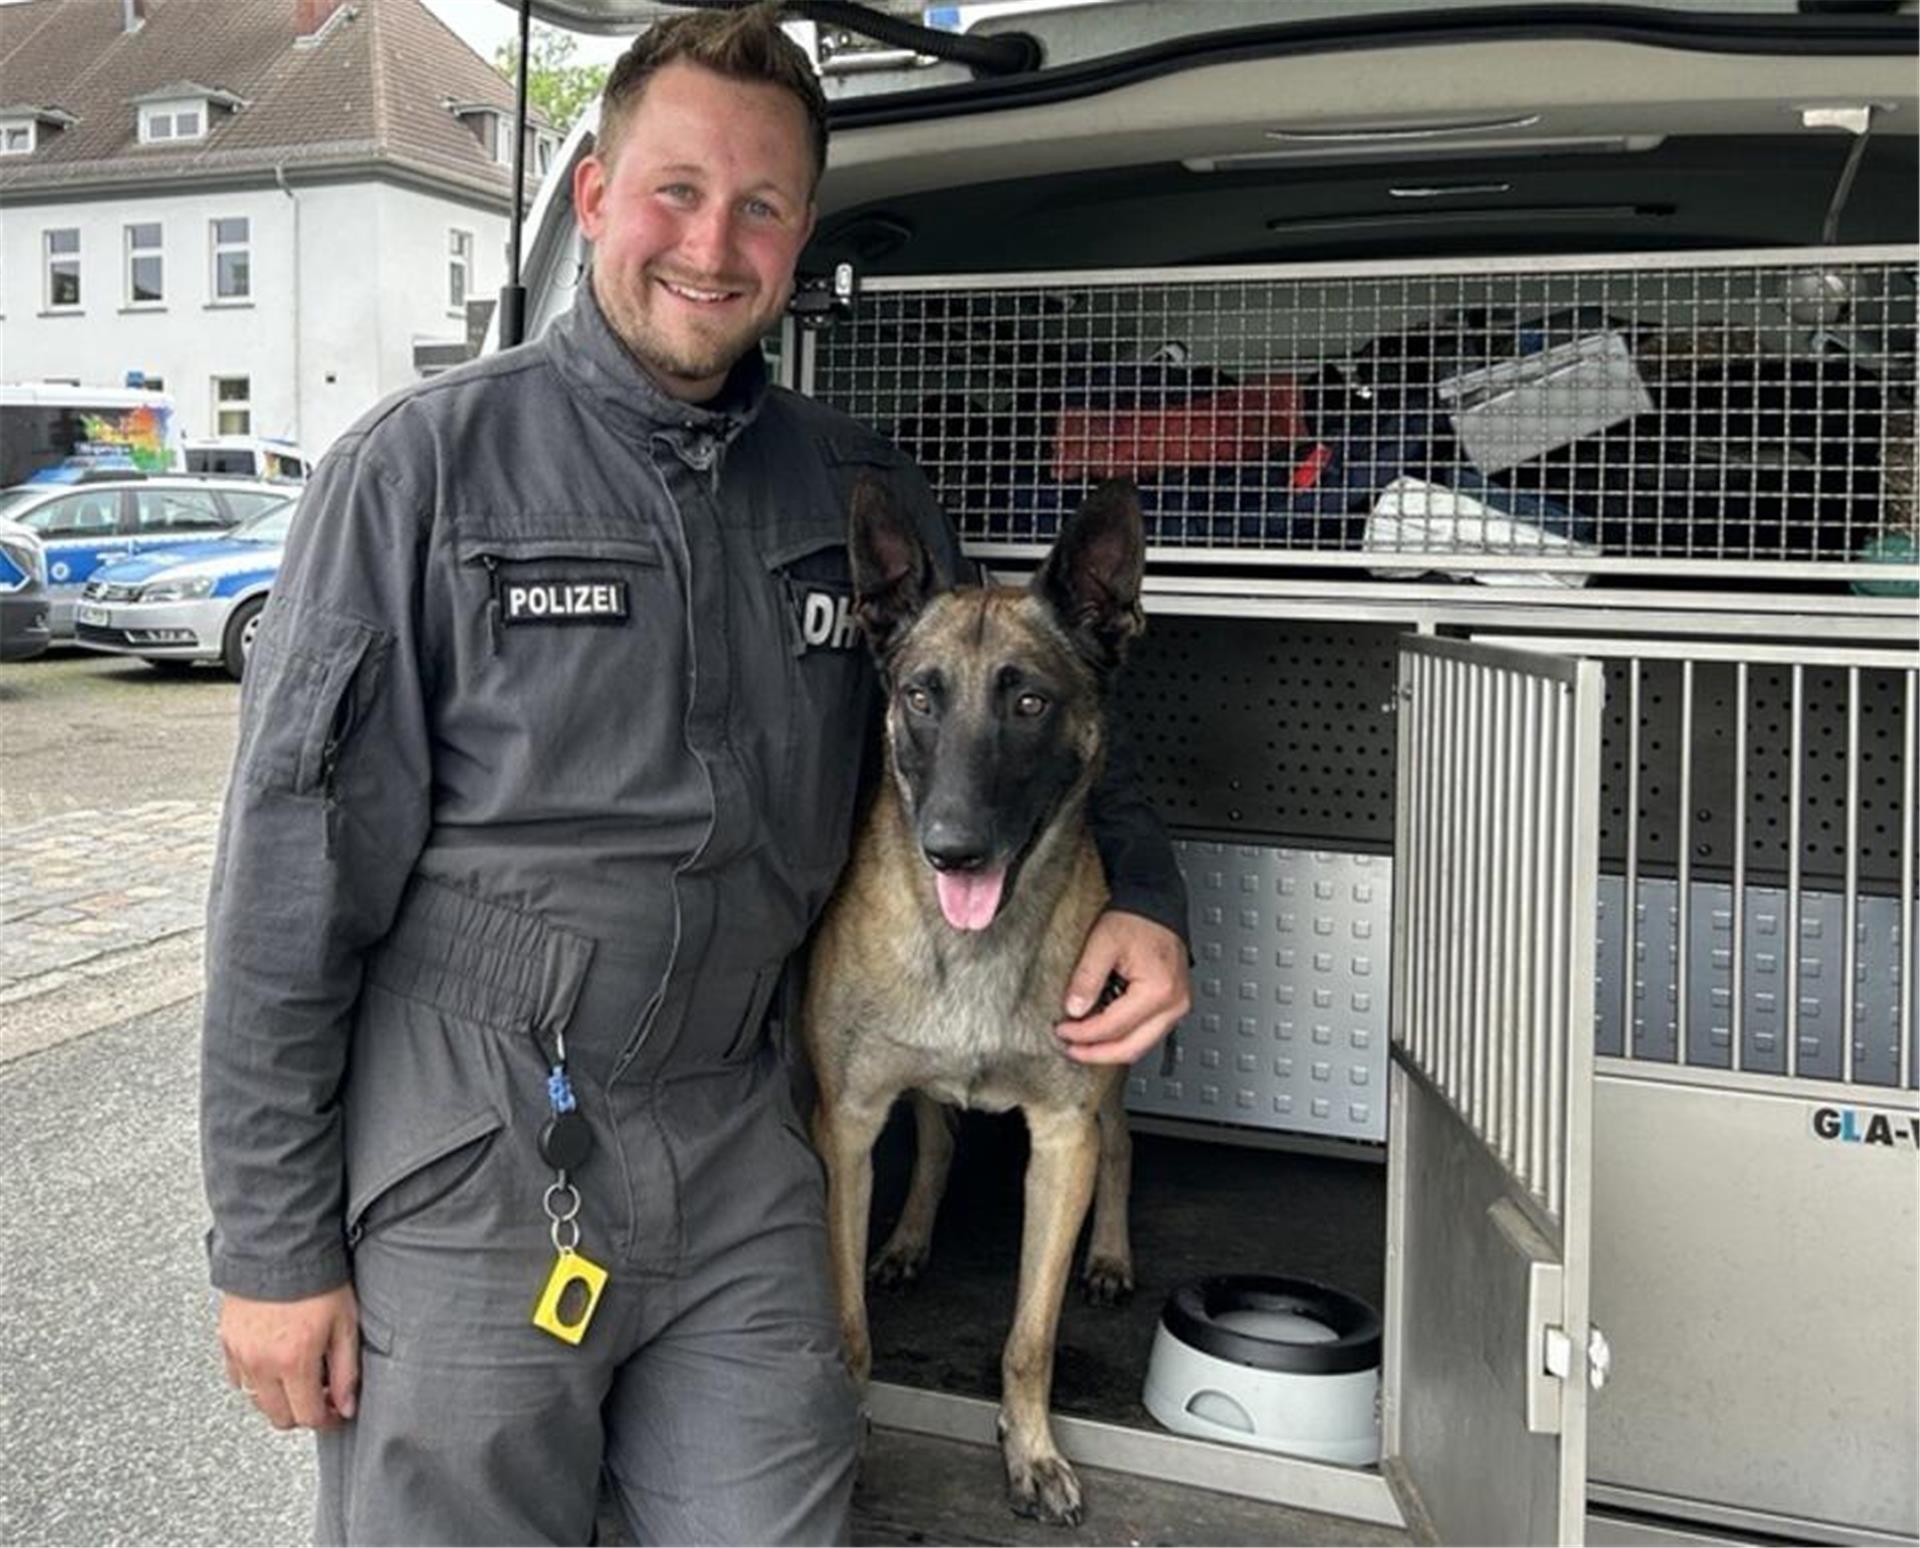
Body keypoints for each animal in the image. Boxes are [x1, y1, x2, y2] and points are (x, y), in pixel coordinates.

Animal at [802, 472, 1144, 1528]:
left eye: (1029, 701)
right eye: (920, 695)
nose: (952, 848)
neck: (976, 945)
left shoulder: (1062, 1137)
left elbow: (1029, 1338)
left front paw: (1030, 1450)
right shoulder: (848, 1124)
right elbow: (848, 1321)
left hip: (1109, 1080)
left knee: (1124, 1143)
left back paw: (1111, 1255)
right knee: (940, 1138)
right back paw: (909, 1240)